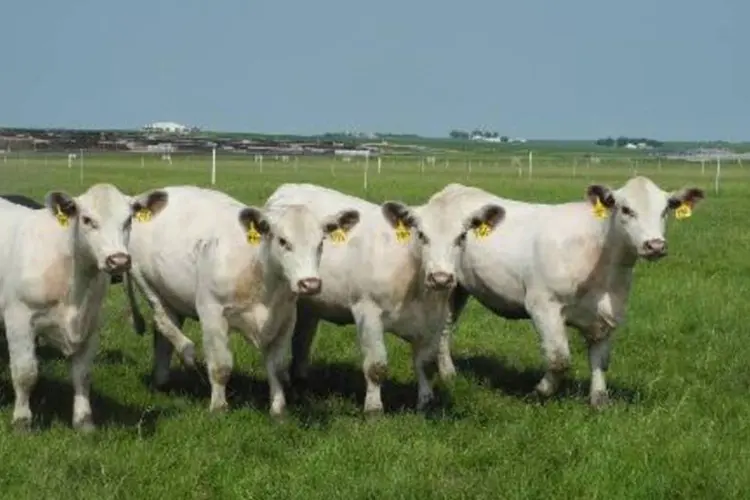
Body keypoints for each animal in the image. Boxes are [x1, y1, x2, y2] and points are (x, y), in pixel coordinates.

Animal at [0, 184, 169, 430]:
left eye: (128, 220)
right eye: (87, 219)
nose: (118, 260)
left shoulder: (91, 323)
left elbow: (82, 374)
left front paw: (84, 421)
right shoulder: (18, 319)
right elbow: (25, 372)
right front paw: (22, 421)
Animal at [125, 186, 362, 416]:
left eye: (320, 243)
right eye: (283, 241)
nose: (310, 283)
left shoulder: (286, 318)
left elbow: (277, 367)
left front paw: (278, 409)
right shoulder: (212, 314)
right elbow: (221, 366)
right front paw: (218, 408)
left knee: (163, 335)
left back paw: (162, 381)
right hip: (146, 282)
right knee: (162, 320)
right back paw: (187, 352)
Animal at [262, 184, 506, 414]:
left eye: (461, 237)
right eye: (421, 235)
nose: (441, 278)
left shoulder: (434, 319)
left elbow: (426, 364)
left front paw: (426, 402)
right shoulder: (367, 312)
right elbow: (375, 366)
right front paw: (373, 408)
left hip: (310, 303)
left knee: (303, 339)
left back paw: (300, 380)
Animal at [428, 178, 704, 408]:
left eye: (665, 210)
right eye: (626, 209)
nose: (655, 245)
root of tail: (454, 189)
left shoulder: (608, 314)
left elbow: (601, 359)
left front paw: (599, 401)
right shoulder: (543, 305)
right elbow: (559, 358)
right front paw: (540, 392)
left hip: (460, 288)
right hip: (446, 285)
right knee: (443, 328)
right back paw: (449, 374)